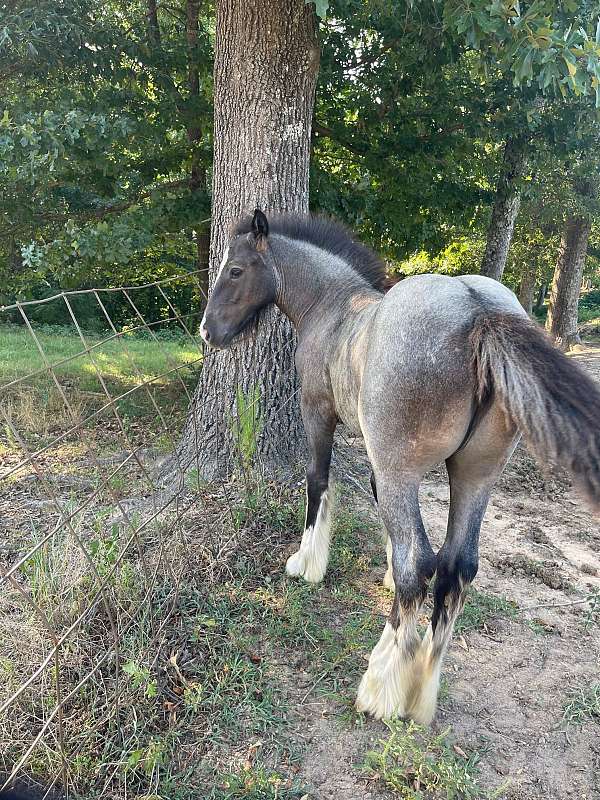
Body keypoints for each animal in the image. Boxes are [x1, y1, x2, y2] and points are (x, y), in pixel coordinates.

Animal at [199, 209, 600, 720]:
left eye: (235, 270)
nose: (208, 331)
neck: (335, 309)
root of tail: (478, 313)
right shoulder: (380, 455)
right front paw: (384, 571)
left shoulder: (319, 414)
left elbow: (317, 482)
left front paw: (306, 563)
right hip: (475, 475)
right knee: (456, 567)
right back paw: (423, 687)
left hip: (404, 471)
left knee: (420, 566)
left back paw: (380, 686)